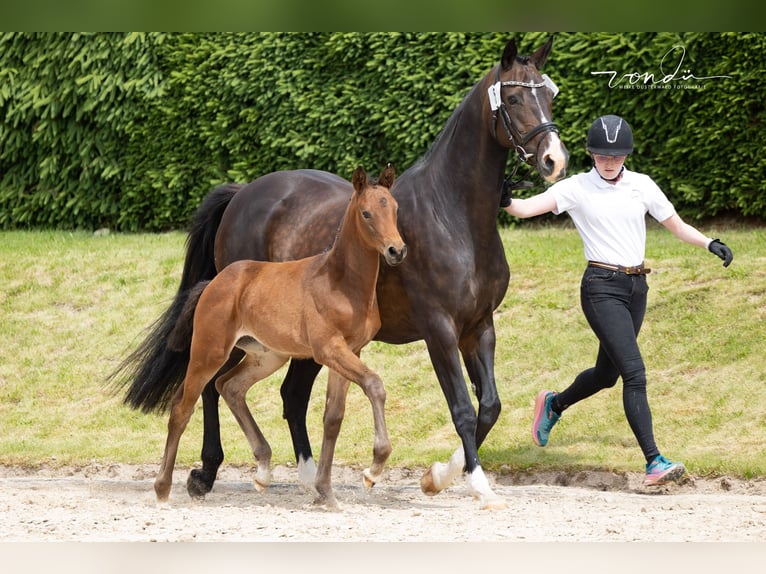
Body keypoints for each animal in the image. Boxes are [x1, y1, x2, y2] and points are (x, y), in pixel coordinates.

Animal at [152, 165, 406, 508]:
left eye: (394, 209)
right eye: (366, 213)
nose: (397, 250)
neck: (340, 280)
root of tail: (214, 282)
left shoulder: (352, 350)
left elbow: (333, 416)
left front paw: (326, 492)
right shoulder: (328, 349)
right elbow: (374, 385)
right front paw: (373, 469)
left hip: (268, 355)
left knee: (229, 386)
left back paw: (262, 470)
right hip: (210, 351)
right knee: (183, 405)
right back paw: (164, 487)